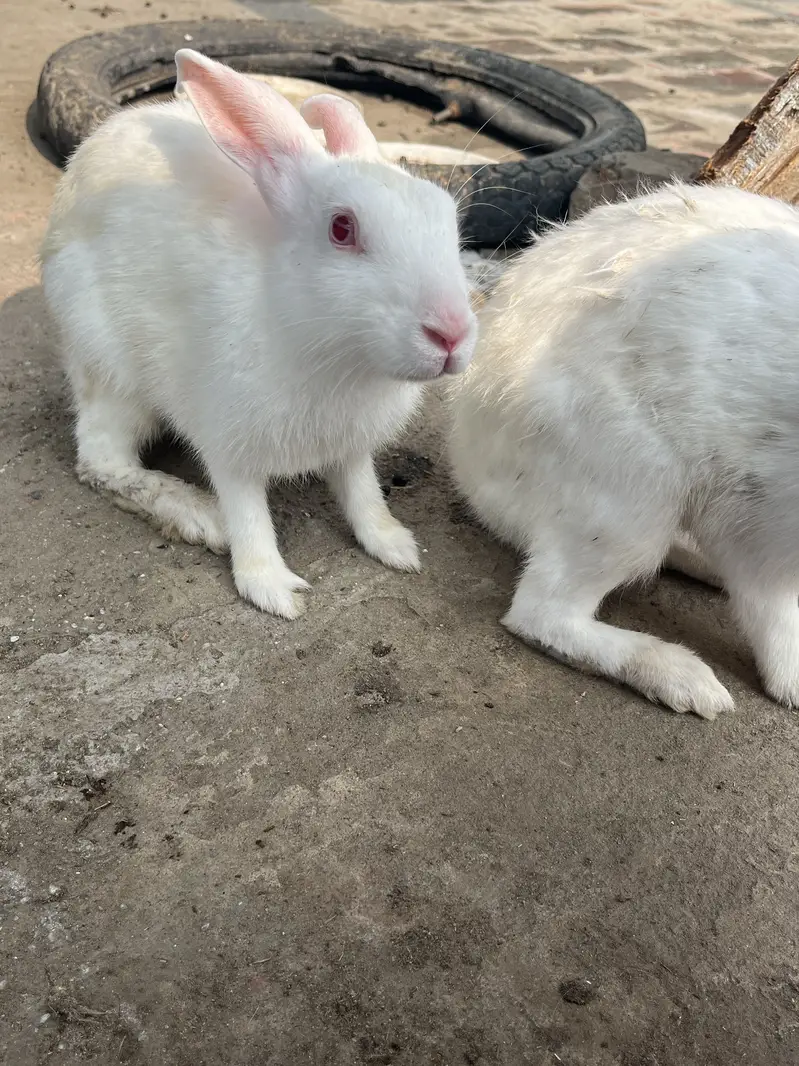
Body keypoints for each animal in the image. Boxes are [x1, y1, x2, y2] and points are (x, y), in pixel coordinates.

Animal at [41, 49, 477, 619]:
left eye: (448, 219)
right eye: (342, 228)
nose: (451, 334)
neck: (335, 356)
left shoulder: (352, 448)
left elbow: (363, 494)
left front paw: (395, 546)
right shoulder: (228, 445)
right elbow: (248, 514)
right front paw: (271, 590)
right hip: (112, 372)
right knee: (100, 463)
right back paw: (199, 516)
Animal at [448, 181, 799, 719]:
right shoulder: (760, 514)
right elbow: (773, 614)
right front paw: (794, 683)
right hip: (631, 493)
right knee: (541, 612)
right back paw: (683, 678)